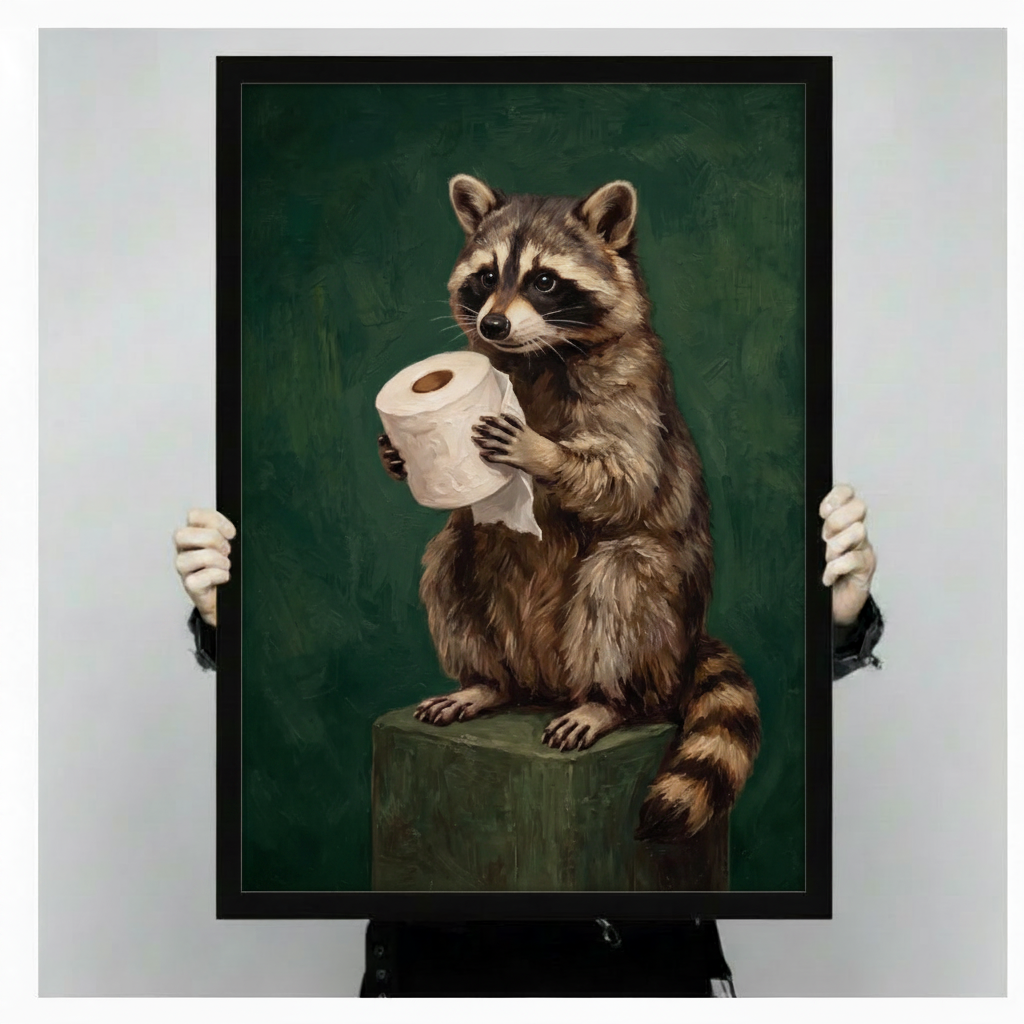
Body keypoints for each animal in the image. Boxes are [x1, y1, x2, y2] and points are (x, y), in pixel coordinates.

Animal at [378, 174, 760, 842]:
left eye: (544, 281)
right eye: (486, 276)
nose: (493, 324)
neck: (538, 354)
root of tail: (547, 685)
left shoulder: (633, 390)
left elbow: (626, 478)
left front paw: (542, 452)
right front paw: (395, 456)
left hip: (658, 629)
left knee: (623, 576)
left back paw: (607, 701)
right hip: (500, 626)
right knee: (448, 560)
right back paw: (485, 684)